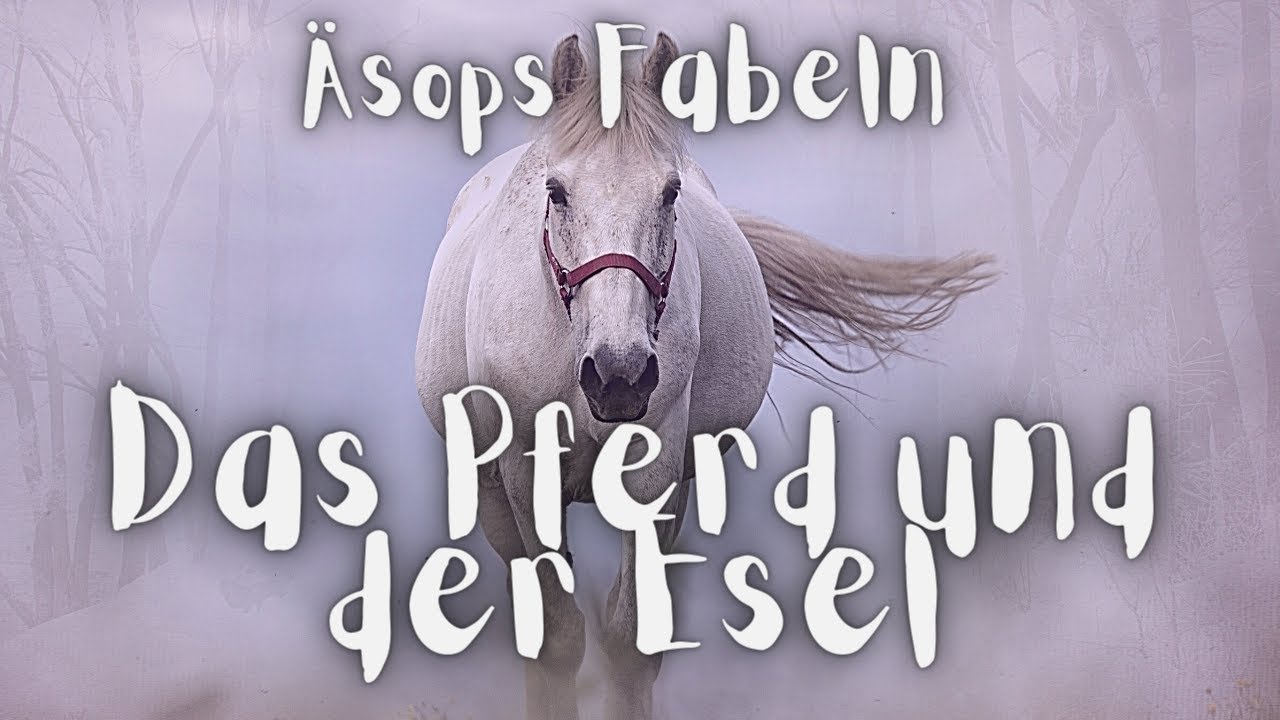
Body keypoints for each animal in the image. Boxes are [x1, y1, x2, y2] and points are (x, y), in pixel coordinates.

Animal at [414, 32, 994, 720]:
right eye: (556, 191)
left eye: (669, 193)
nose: (619, 374)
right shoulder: (528, 475)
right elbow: (557, 635)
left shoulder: (658, 470)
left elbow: (631, 636)